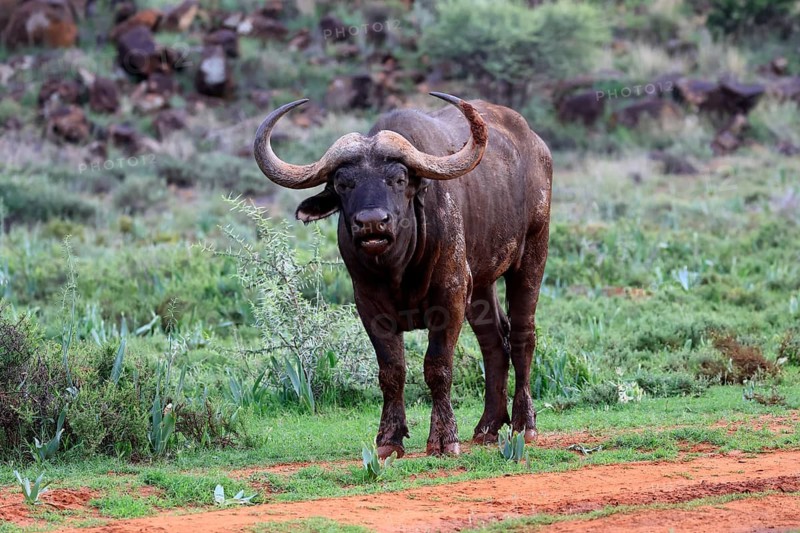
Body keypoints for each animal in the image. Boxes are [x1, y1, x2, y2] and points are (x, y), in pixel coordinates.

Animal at [254, 93, 552, 458]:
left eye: (398, 179)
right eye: (343, 183)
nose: (372, 223)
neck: (398, 268)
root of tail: (536, 145)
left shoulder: (449, 297)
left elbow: (438, 367)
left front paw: (444, 439)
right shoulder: (370, 306)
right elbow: (391, 371)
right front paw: (388, 439)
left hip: (532, 254)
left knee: (523, 335)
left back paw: (525, 424)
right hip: (480, 284)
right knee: (494, 342)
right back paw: (488, 427)